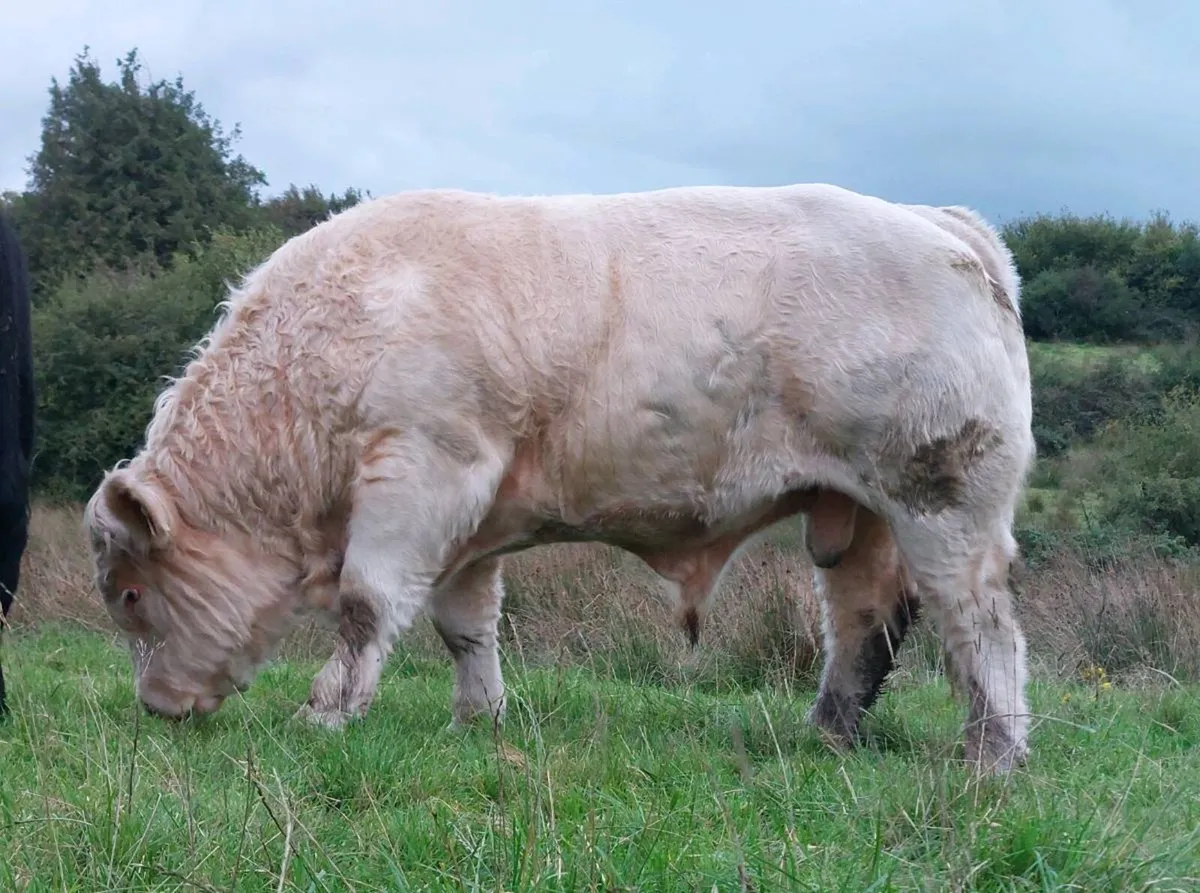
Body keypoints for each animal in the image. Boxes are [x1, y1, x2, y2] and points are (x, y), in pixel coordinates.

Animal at [82, 183, 1036, 773]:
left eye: (128, 594)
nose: (154, 706)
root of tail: (941, 222)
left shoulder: (423, 469)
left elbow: (366, 604)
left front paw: (325, 713)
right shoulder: (468, 520)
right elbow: (465, 623)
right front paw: (477, 718)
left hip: (944, 497)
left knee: (980, 622)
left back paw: (993, 758)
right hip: (857, 510)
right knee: (865, 622)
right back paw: (827, 734)